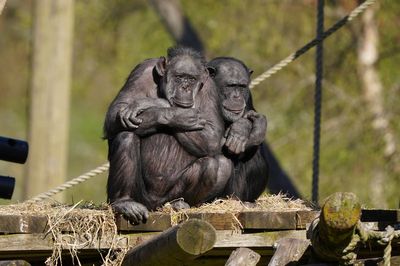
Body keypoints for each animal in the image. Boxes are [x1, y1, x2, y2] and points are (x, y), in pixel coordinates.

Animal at [104, 47, 233, 224]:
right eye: (179, 77)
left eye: (191, 79)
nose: (185, 87)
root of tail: (156, 206)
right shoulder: (141, 72)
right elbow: (116, 112)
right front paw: (172, 112)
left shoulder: (210, 89)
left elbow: (212, 136)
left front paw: (152, 103)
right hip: (142, 197)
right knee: (125, 135)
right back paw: (124, 203)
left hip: (169, 197)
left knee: (219, 165)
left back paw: (179, 204)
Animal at [206, 56, 268, 202]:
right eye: (231, 86)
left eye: (242, 87)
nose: (237, 97)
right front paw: (242, 129)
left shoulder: (249, 95)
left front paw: (243, 127)